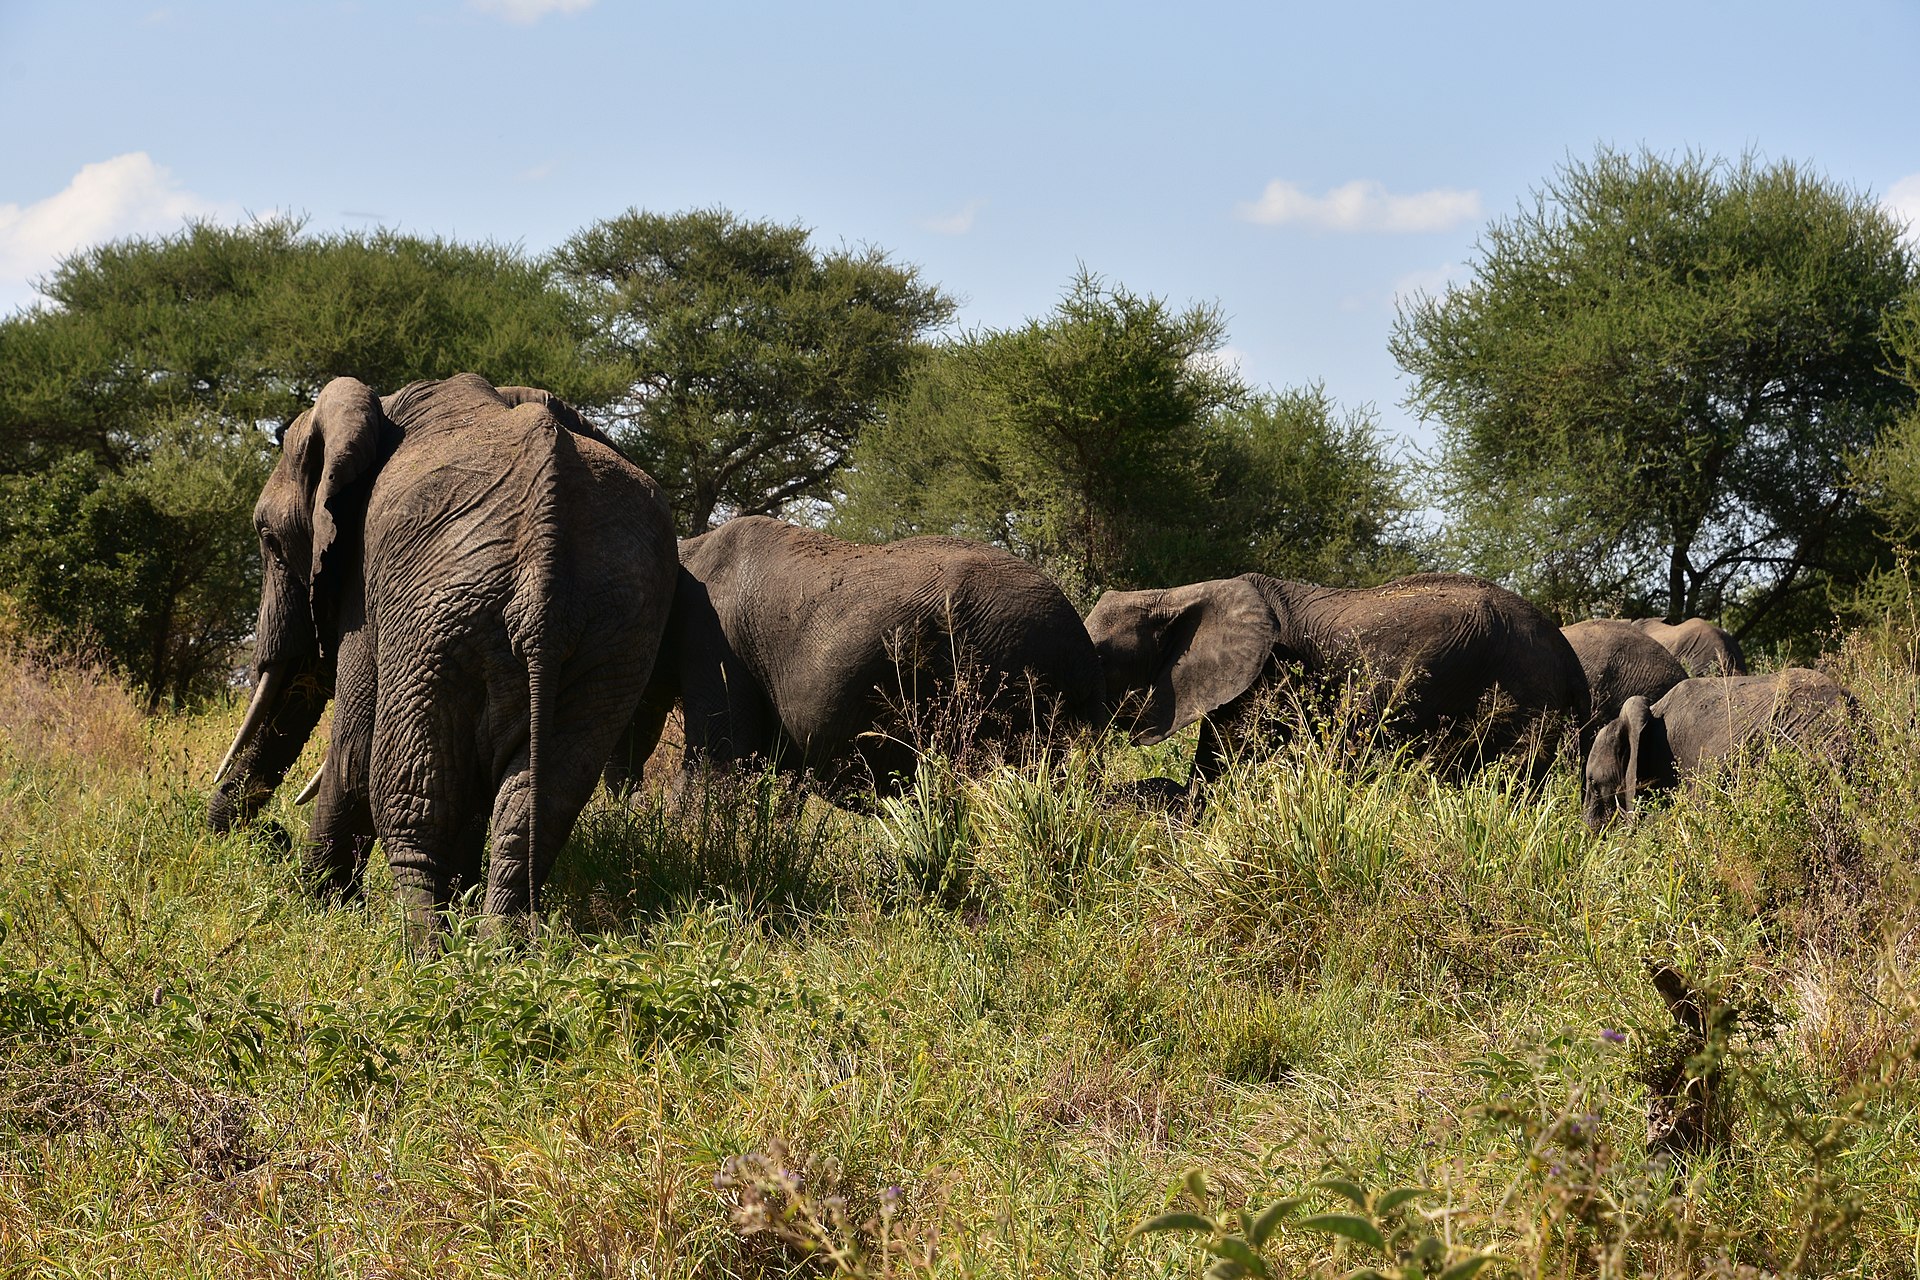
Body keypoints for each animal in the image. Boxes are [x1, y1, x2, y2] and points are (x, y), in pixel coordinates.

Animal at [208, 373, 678, 928]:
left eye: (270, 541)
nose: (270, 836)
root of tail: (546, 552)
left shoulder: (365, 582)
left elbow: (352, 745)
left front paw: (322, 911)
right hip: (612, 636)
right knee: (538, 801)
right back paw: (497, 940)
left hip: (436, 622)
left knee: (411, 797)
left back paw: (430, 942)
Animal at [613, 516, 1106, 797]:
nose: (626, 805)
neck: (688, 547)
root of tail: (1081, 646)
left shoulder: (714, 639)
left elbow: (715, 764)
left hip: (1010, 674)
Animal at [1084, 572, 1589, 788]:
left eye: (1101, 659)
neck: (1176, 593)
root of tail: (1565, 650)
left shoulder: (1270, 672)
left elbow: (1229, 753)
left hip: (1521, 694)